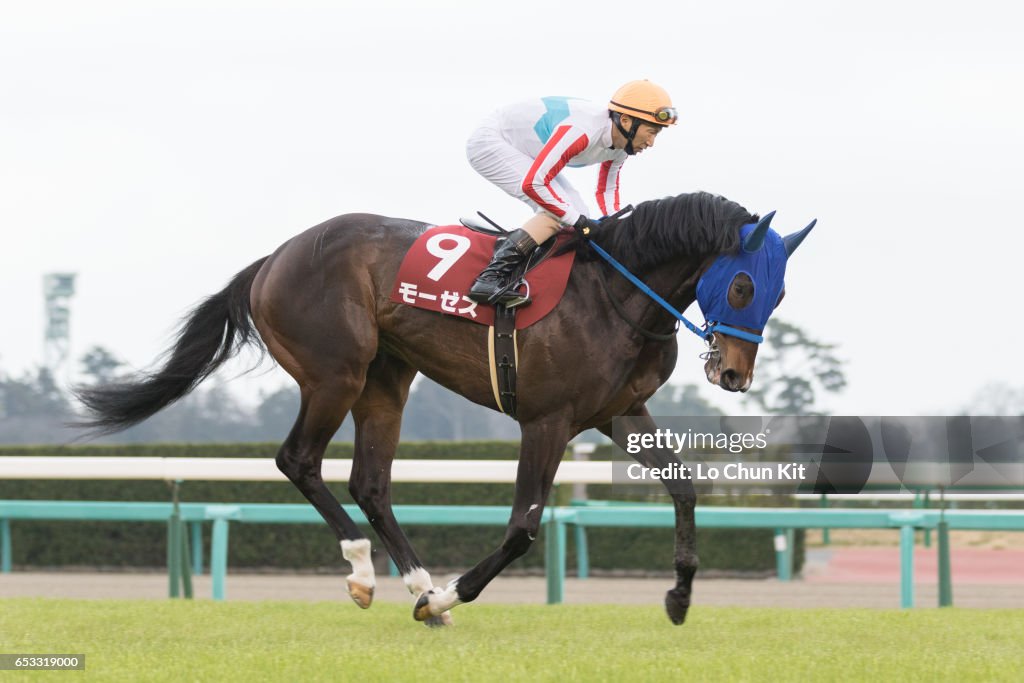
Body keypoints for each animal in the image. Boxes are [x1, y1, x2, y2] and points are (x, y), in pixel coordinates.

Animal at [75, 189, 815, 626]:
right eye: (743, 285)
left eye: (778, 294)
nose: (733, 372)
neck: (616, 292)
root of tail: (271, 260)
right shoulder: (547, 420)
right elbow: (522, 527)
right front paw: (456, 592)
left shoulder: (620, 411)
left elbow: (686, 488)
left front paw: (680, 595)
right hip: (335, 372)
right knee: (299, 460)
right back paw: (369, 574)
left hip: (386, 379)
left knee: (369, 483)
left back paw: (418, 585)